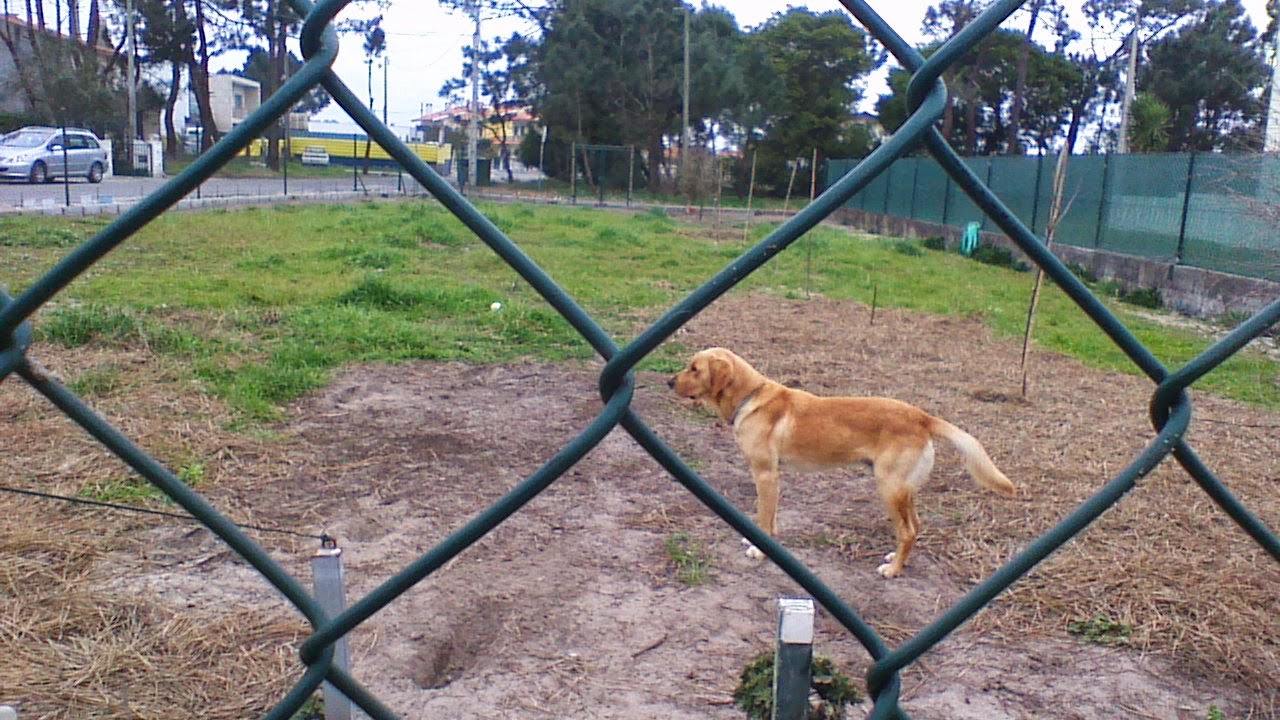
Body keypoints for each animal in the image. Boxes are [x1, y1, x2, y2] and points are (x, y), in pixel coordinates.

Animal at [669, 347, 1016, 578]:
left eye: (694, 368)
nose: (669, 381)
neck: (749, 398)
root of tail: (922, 417)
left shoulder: (765, 474)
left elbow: (764, 517)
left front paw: (758, 550)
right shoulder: (773, 478)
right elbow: (769, 516)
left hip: (889, 488)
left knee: (907, 531)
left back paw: (892, 571)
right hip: (904, 490)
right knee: (915, 527)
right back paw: (896, 559)